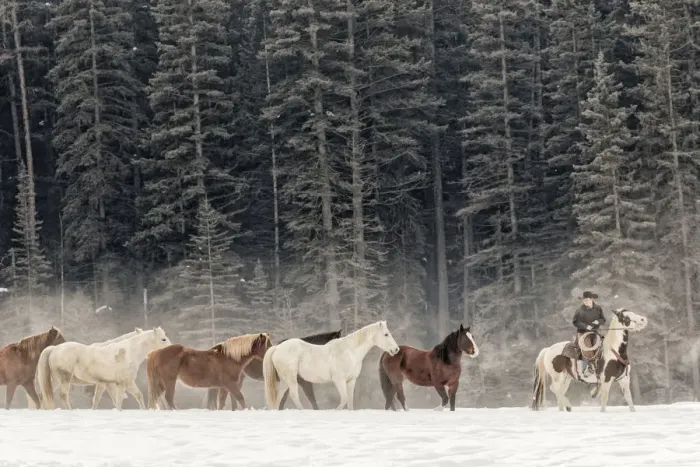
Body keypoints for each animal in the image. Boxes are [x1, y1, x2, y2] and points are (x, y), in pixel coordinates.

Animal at [37, 327, 171, 410]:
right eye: (163, 339)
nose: (170, 348)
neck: (126, 353)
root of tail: (54, 349)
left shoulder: (109, 383)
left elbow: (134, 396)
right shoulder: (123, 382)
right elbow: (121, 399)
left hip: (56, 381)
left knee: (44, 394)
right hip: (65, 380)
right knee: (63, 396)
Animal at [263, 320, 400, 410]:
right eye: (386, 334)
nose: (396, 349)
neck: (349, 351)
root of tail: (277, 348)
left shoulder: (351, 380)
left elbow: (349, 401)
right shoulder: (339, 380)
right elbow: (344, 399)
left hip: (285, 380)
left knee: (279, 396)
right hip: (291, 378)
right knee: (293, 395)